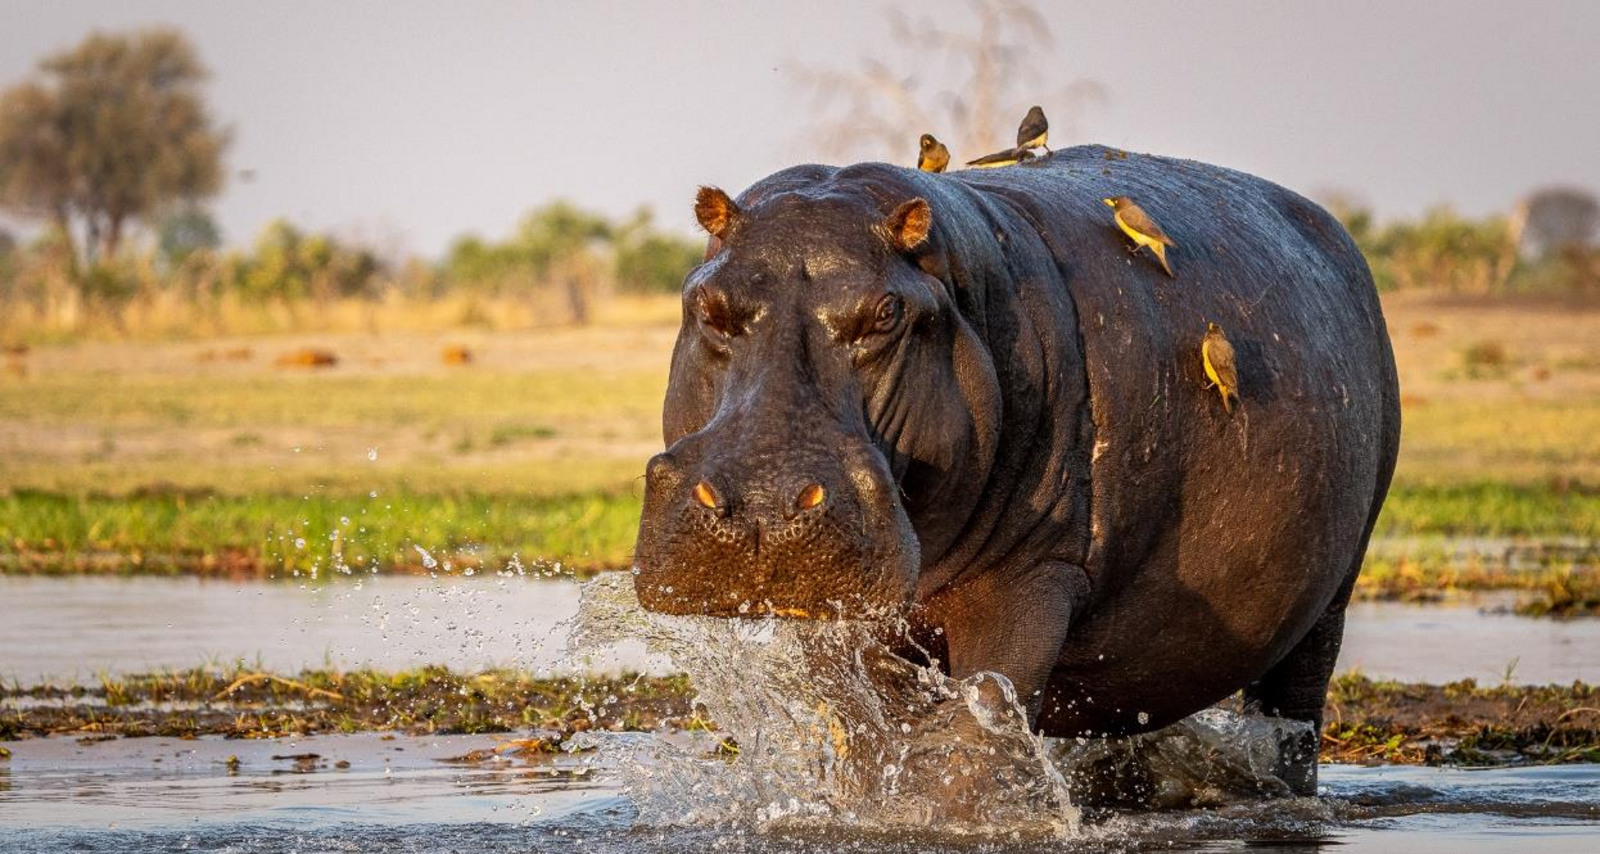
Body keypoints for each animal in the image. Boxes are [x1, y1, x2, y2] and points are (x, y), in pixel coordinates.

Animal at [633, 145, 1401, 794]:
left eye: (887, 312)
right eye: (707, 303)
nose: (763, 503)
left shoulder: (1030, 578)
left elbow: (979, 727)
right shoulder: (838, 618)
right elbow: (867, 739)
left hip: (1330, 599)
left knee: (1293, 718)